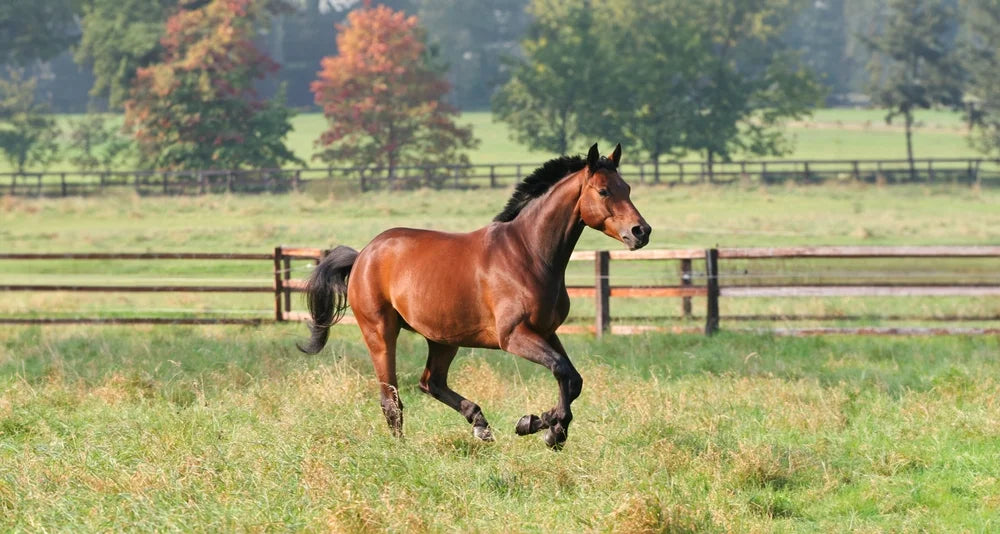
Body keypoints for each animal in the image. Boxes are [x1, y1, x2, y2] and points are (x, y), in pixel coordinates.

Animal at [298, 143, 651, 449]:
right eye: (604, 191)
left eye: (628, 188)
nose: (641, 232)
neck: (529, 253)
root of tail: (363, 256)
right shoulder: (514, 336)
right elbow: (562, 371)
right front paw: (549, 428)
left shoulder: (547, 332)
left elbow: (572, 379)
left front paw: (542, 424)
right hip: (381, 333)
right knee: (392, 399)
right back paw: (403, 449)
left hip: (443, 339)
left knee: (431, 382)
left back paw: (480, 424)